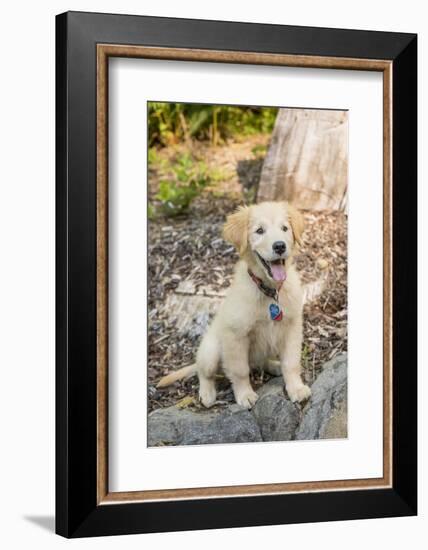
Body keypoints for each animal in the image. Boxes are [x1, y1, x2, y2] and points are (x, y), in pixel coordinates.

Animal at [157, 203, 310, 410]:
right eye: (259, 231)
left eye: (284, 228)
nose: (279, 246)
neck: (269, 291)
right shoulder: (235, 335)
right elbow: (240, 370)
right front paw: (245, 394)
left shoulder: (292, 327)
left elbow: (291, 362)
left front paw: (296, 388)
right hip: (211, 350)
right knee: (205, 373)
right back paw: (207, 393)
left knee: (260, 362)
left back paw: (274, 365)